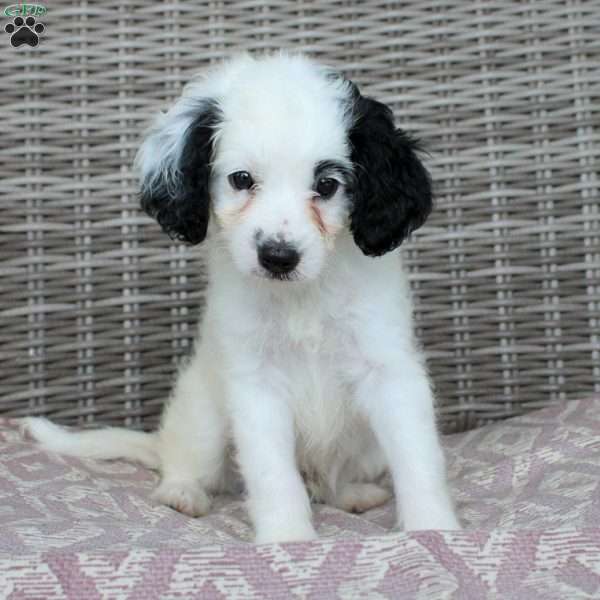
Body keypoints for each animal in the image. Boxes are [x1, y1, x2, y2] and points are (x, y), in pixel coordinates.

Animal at [23, 52, 462, 544]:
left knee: (331, 480)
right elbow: (273, 474)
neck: (301, 297)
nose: (278, 256)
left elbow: (417, 459)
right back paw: (182, 493)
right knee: (184, 462)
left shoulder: (389, 370)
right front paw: (287, 539)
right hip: (205, 419)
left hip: (364, 448)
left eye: (327, 185)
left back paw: (352, 493)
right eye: (241, 179)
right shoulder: (256, 384)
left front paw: (434, 528)